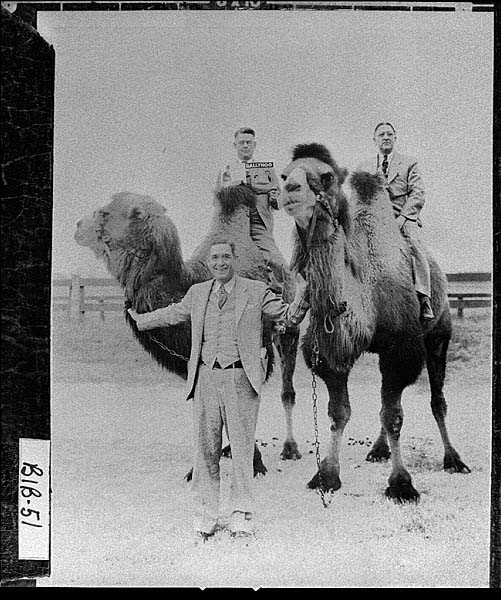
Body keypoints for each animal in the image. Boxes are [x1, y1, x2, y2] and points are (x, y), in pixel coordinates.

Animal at [282, 144, 468, 502]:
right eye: (284, 173)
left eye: (327, 176)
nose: (288, 189)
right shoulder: (332, 351)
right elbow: (339, 412)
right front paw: (326, 475)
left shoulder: (401, 348)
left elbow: (393, 415)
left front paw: (402, 484)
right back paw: (378, 450)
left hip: (439, 334)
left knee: (437, 400)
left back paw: (454, 459)